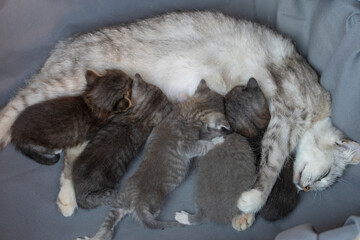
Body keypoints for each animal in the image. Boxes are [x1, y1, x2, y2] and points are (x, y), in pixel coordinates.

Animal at [77, 80, 231, 240]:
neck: (186, 112)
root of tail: (135, 204)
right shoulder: (187, 146)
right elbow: (202, 145)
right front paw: (217, 141)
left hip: (118, 203)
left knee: (107, 229)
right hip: (156, 200)